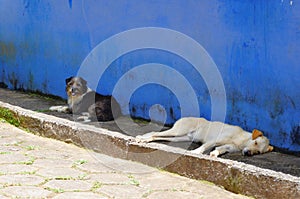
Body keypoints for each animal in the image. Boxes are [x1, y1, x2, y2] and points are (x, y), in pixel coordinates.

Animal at [136, 116, 274, 157]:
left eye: (258, 152)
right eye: (255, 143)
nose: (248, 153)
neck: (241, 141)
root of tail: (183, 117)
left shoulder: (228, 147)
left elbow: (220, 149)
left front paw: (215, 154)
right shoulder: (214, 140)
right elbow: (204, 147)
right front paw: (196, 152)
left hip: (180, 137)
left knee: (156, 135)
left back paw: (145, 138)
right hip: (178, 131)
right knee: (155, 133)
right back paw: (142, 138)